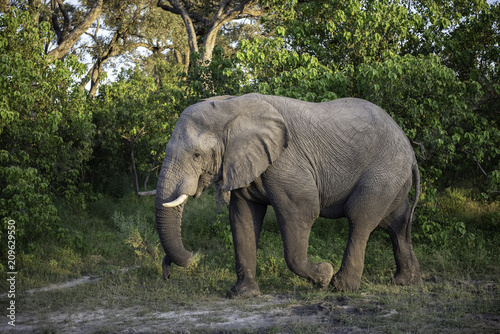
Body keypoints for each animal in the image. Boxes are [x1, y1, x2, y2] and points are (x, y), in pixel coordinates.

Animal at [150, 92, 420, 296]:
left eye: (196, 155)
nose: (168, 272)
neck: (231, 106)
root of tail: (409, 148)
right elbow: (243, 218)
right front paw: (241, 295)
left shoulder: (287, 162)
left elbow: (302, 210)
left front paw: (323, 275)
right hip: (393, 177)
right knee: (396, 223)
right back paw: (403, 281)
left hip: (384, 170)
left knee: (360, 218)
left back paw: (341, 287)